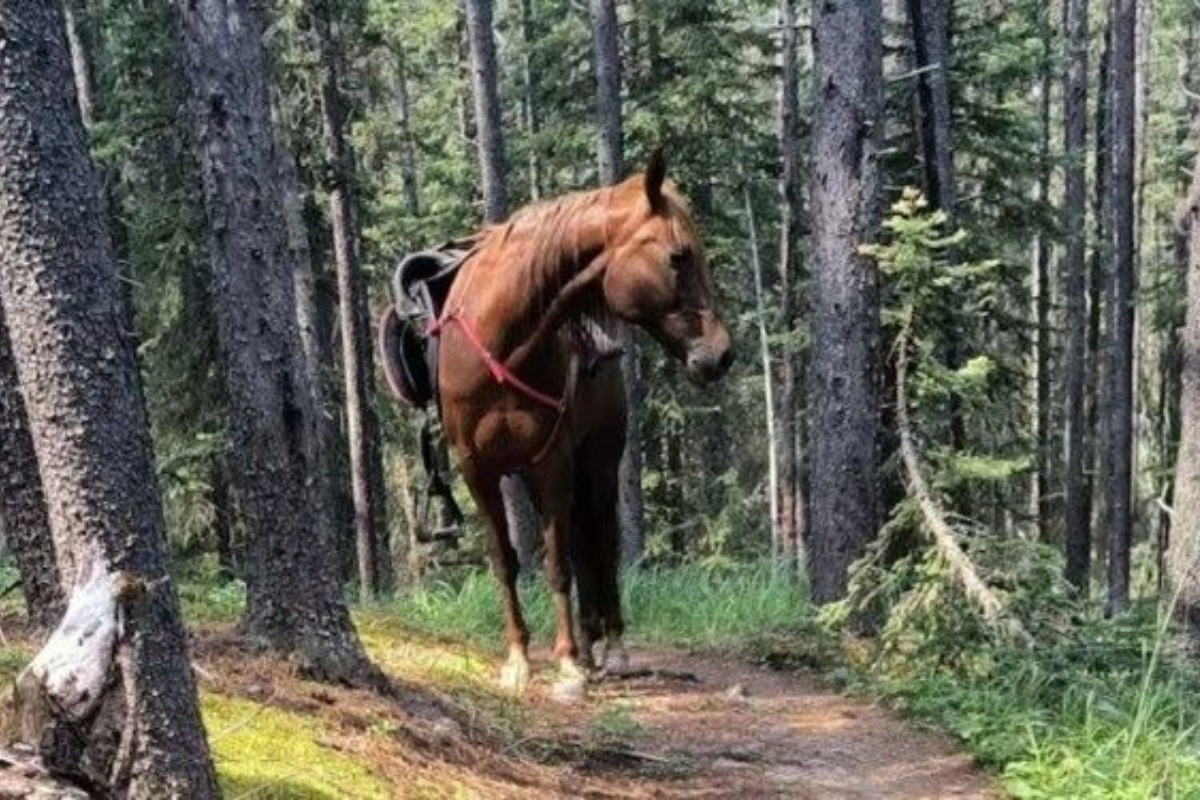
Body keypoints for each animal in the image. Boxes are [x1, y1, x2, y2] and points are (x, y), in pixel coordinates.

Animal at [388, 151, 734, 700]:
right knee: (581, 539)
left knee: (602, 540)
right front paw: (518, 659)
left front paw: (569, 665)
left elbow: (557, 565)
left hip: (598, 460)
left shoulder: (551, 460)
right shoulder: (477, 470)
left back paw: (608, 648)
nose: (721, 355)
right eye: (679, 256)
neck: (503, 340)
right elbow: (506, 560)